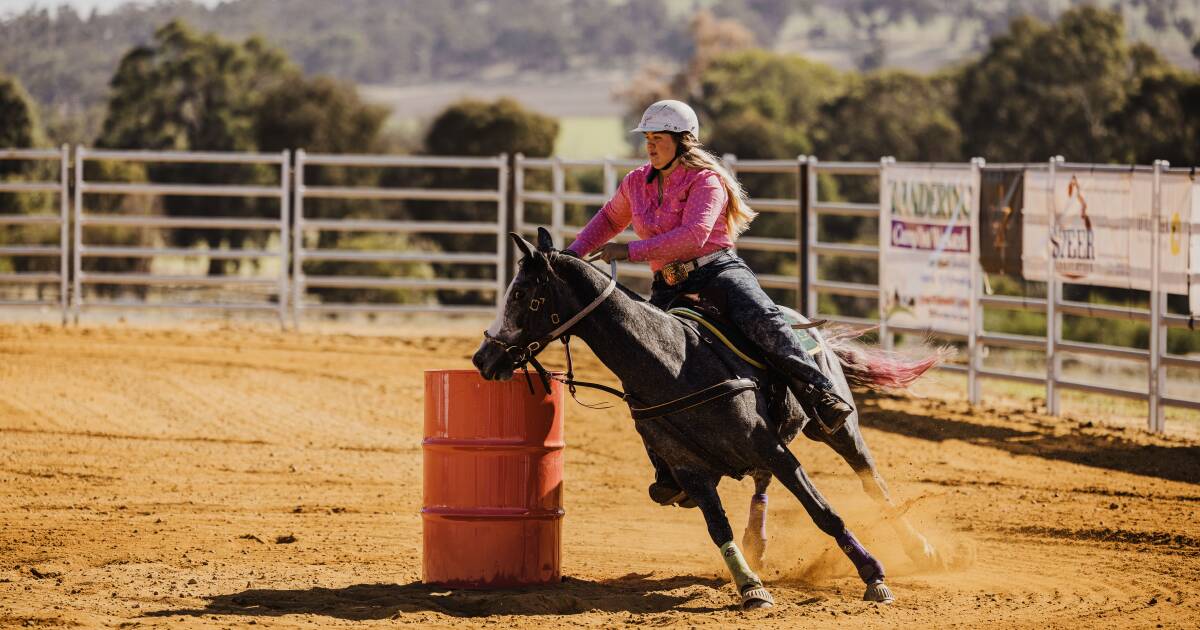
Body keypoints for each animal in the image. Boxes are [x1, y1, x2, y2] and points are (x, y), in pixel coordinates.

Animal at [470, 229, 945, 609]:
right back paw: (757, 544)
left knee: (870, 479)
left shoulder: (772, 448)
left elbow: (824, 512)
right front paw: (751, 587)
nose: (483, 358)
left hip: (836, 428)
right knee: (761, 482)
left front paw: (873, 575)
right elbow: (718, 527)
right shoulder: (690, 469)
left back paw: (921, 549)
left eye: (521, 294)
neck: (675, 363)